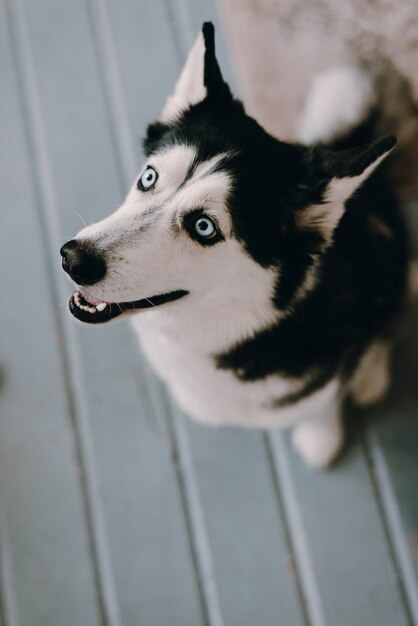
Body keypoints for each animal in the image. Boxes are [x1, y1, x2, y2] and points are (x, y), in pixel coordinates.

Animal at [60, 23, 410, 464]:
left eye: (204, 227)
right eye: (149, 177)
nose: (72, 259)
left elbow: (324, 402)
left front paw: (322, 433)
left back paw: (371, 375)